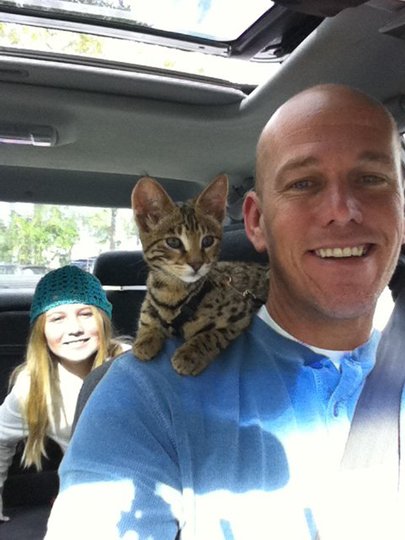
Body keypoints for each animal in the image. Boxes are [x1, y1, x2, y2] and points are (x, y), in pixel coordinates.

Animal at [131, 173, 269, 375]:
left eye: (208, 240)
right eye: (173, 242)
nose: (197, 264)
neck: (173, 291)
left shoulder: (241, 314)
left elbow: (212, 335)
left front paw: (190, 354)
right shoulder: (151, 300)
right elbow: (147, 316)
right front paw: (145, 338)